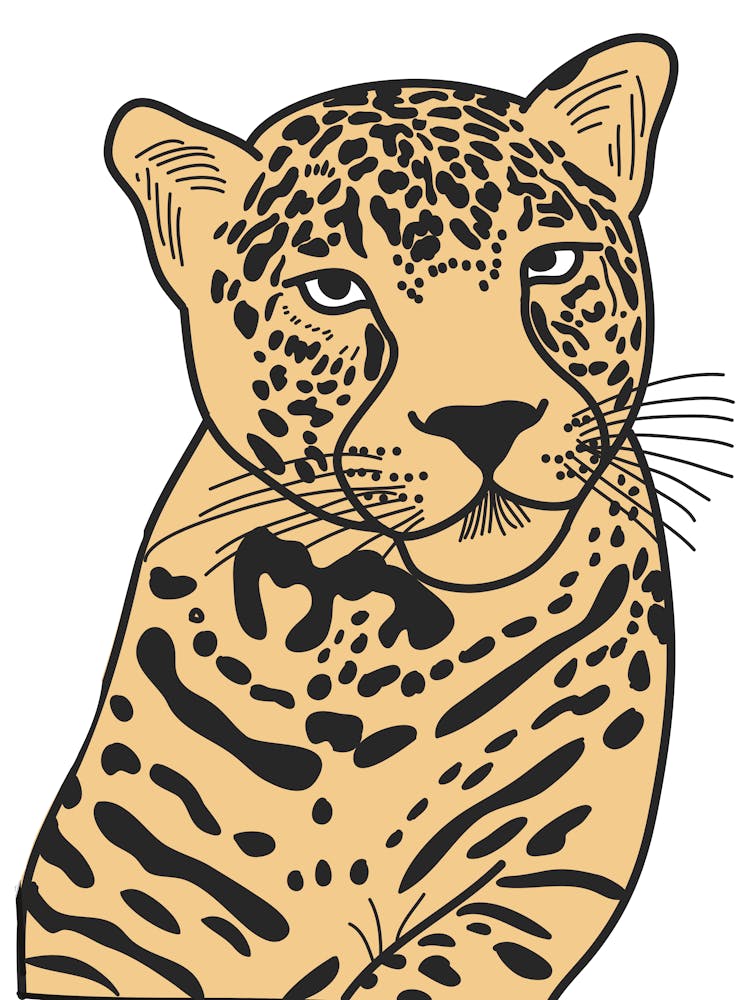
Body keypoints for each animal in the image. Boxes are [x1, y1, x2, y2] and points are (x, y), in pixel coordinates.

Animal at [18, 33, 679, 1000]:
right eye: (333, 290)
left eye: (551, 264)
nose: (487, 420)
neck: (377, 654)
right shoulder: (97, 902)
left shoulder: (543, 870)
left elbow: (423, 976)